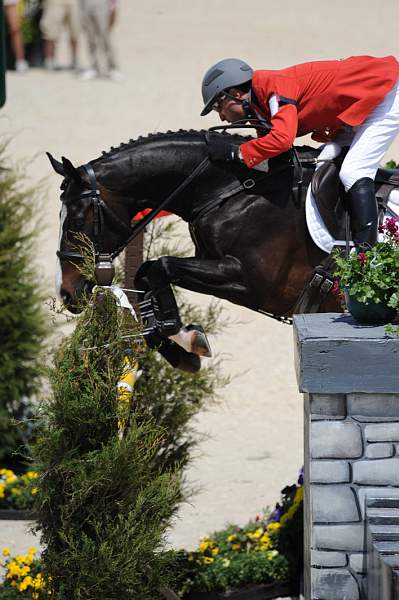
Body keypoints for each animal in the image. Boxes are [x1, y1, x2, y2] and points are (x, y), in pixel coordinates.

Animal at [47, 130, 340, 370]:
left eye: (77, 221)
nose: (65, 293)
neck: (236, 189)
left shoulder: (251, 282)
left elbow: (161, 267)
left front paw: (185, 338)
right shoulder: (210, 262)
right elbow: (146, 272)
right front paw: (177, 347)